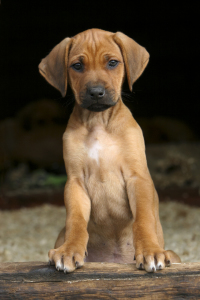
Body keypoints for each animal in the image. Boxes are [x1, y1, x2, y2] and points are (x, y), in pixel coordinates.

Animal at [38, 29, 180, 274]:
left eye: (112, 63)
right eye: (77, 66)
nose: (96, 93)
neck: (99, 123)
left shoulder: (137, 177)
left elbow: (143, 218)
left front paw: (150, 250)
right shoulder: (75, 182)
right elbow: (76, 220)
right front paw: (69, 250)